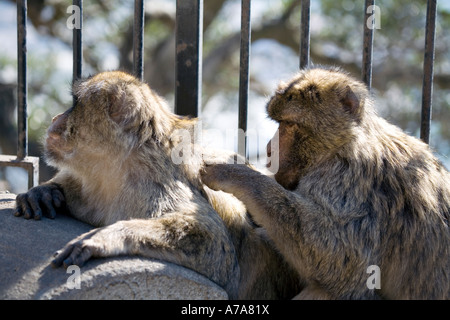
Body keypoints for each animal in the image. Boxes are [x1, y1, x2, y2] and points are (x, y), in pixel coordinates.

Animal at [14, 70, 302, 300]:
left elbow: (215, 246)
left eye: (75, 104)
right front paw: (44, 191)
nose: (55, 118)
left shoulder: (155, 181)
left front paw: (104, 237)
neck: (121, 165)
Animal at [201, 66, 450, 298]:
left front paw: (238, 174)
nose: (269, 150)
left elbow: (344, 263)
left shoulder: (349, 177)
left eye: (289, 124)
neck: (341, 145)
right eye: (279, 122)